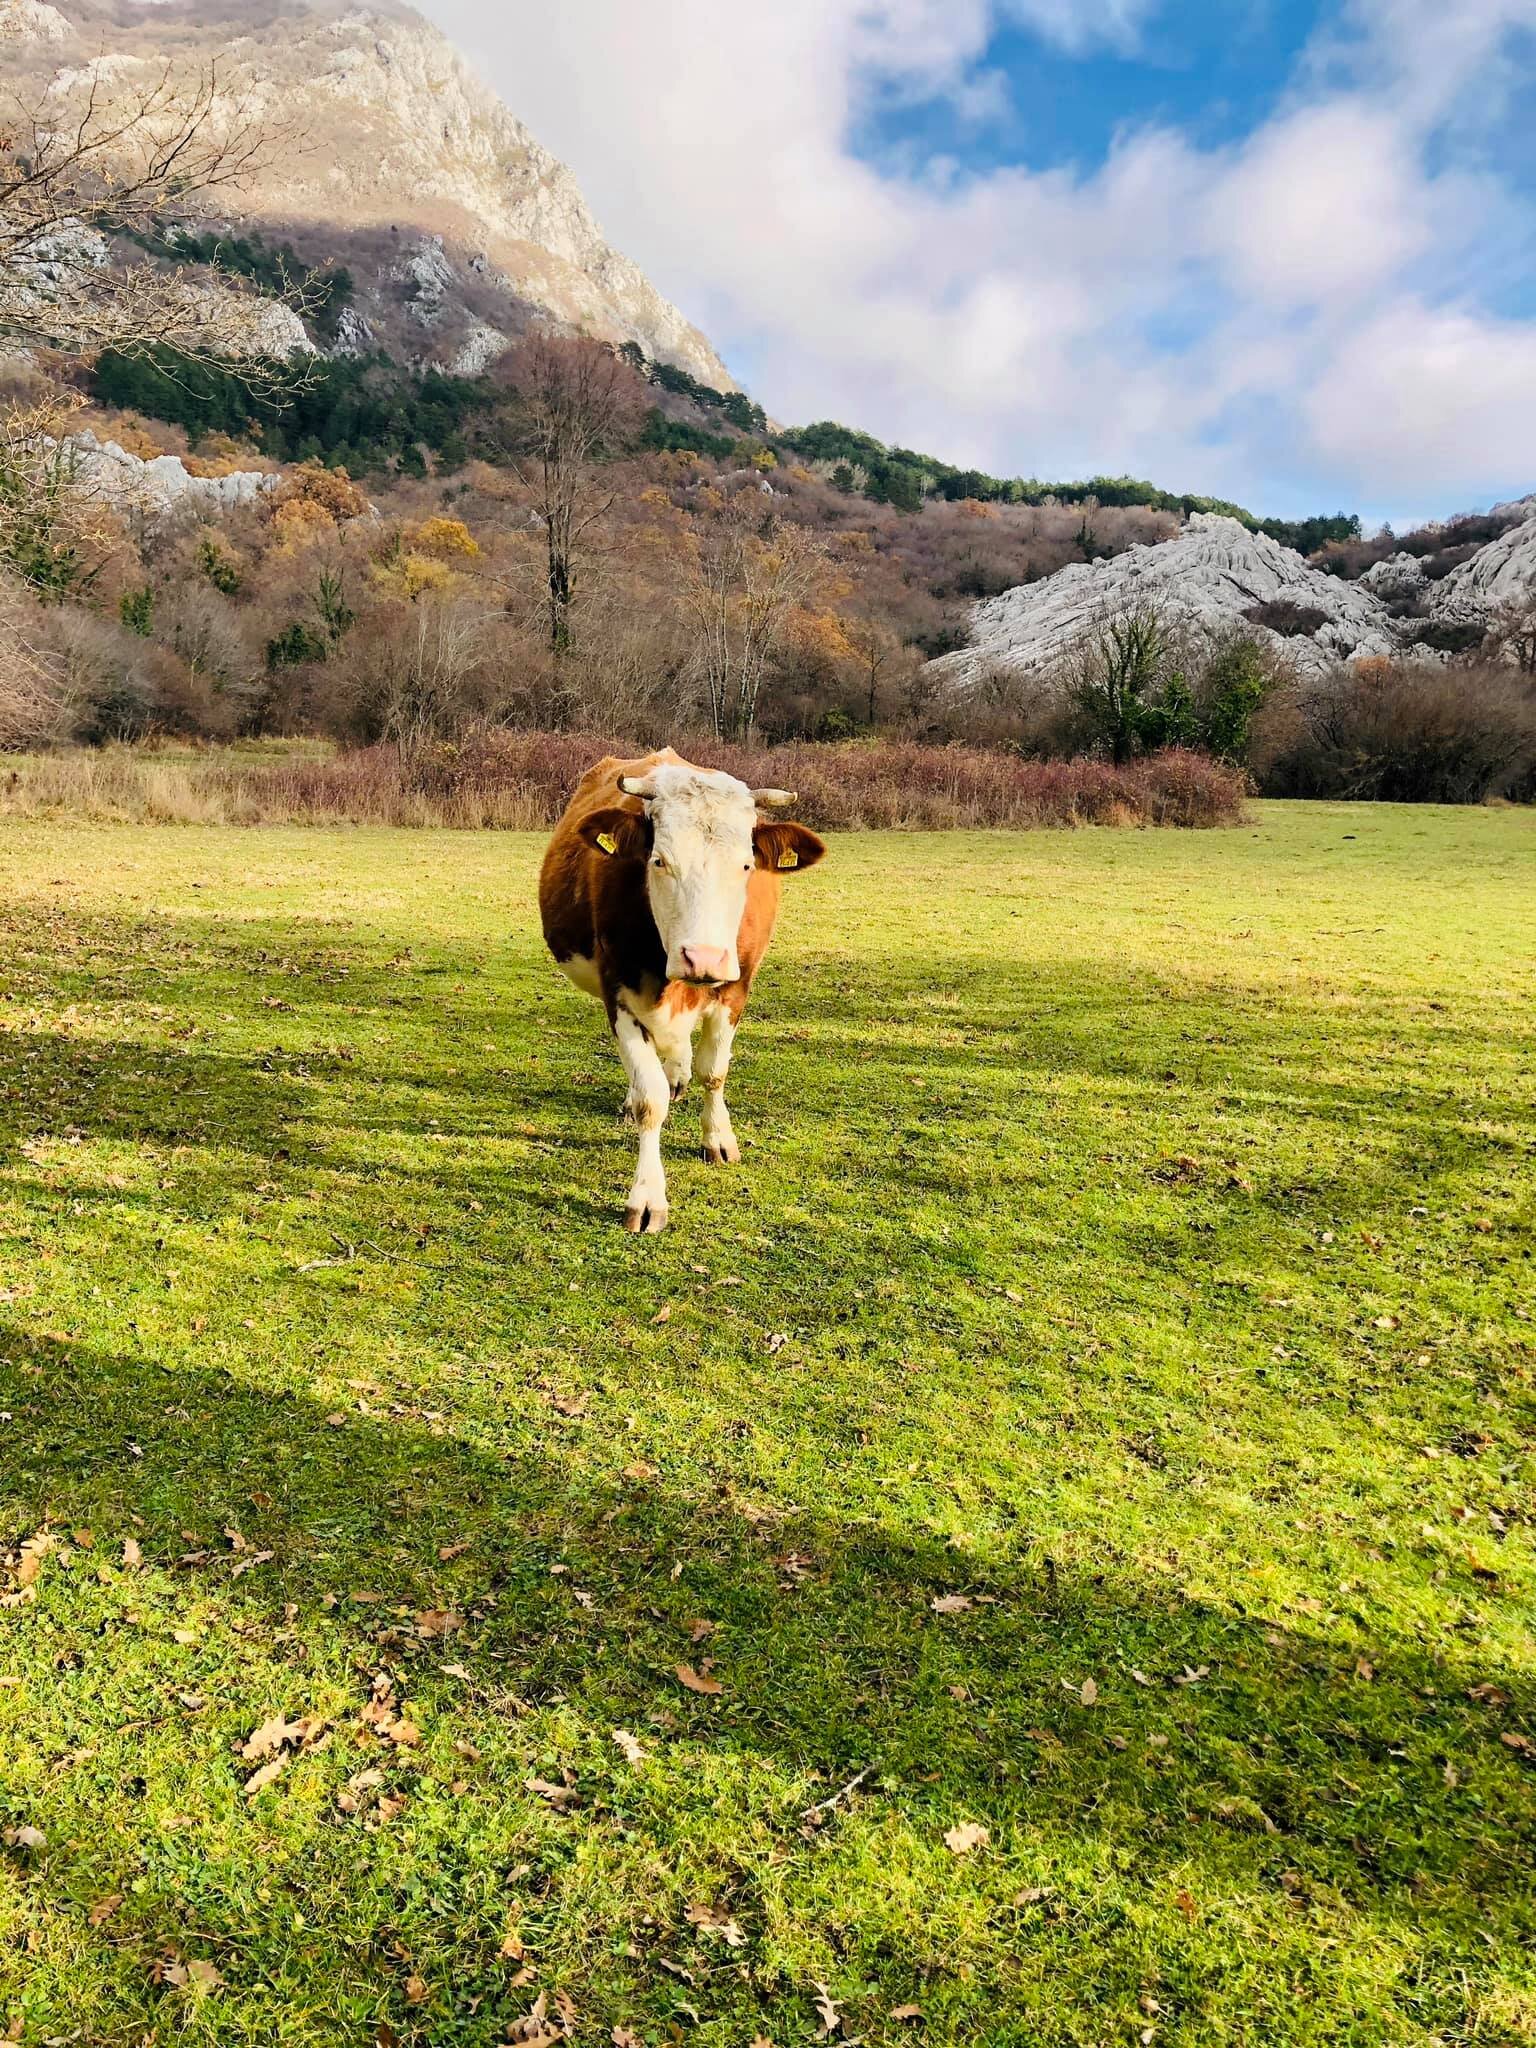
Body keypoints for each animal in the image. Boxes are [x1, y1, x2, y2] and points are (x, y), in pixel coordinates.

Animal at [540, 749, 831, 1228]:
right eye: (659, 861)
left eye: (746, 865)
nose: (703, 958)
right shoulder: (618, 993)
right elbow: (650, 1099)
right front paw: (647, 1195)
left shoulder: (736, 988)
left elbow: (714, 1071)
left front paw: (718, 1138)